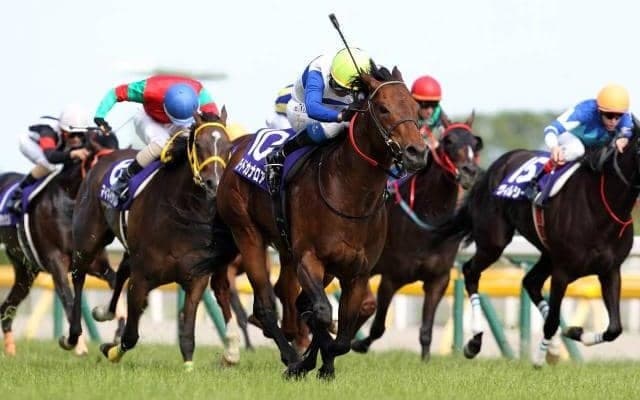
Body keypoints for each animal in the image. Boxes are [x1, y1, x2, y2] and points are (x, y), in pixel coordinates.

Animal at [0, 130, 121, 356]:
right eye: (102, 158)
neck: (71, 201)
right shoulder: (56, 262)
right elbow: (68, 298)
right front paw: (78, 345)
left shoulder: (95, 263)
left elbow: (116, 282)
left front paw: (118, 333)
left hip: (25, 271)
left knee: (6, 309)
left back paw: (11, 350)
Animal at [58, 112, 237, 369]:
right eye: (198, 144)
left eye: (228, 146)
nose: (214, 182)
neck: (180, 213)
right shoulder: (142, 278)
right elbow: (131, 336)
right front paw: (110, 350)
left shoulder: (196, 279)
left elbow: (187, 333)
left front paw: (188, 366)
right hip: (88, 238)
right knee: (79, 275)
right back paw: (72, 337)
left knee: (121, 271)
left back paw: (105, 312)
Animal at [216, 64, 428, 379]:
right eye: (383, 108)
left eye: (415, 108)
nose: (417, 153)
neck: (350, 192)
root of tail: (237, 146)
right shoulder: (309, 259)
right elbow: (323, 314)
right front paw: (305, 362)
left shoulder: (357, 272)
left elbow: (340, 333)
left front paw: (323, 364)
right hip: (247, 232)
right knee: (266, 305)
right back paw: (290, 357)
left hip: (291, 251)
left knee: (293, 299)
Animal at [350, 114, 483, 360]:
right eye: (448, 141)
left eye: (475, 143)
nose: (469, 172)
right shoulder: (392, 278)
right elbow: (378, 327)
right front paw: (359, 344)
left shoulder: (438, 280)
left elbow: (426, 330)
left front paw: (426, 360)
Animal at [434, 116, 640, 367]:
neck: (601, 205)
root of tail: (498, 163)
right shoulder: (562, 272)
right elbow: (551, 321)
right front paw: (540, 359)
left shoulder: (610, 270)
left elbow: (614, 329)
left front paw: (573, 333)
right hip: (494, 242)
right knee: (471, 272)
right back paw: (474, 341)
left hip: (546, 254)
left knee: (530, 282)